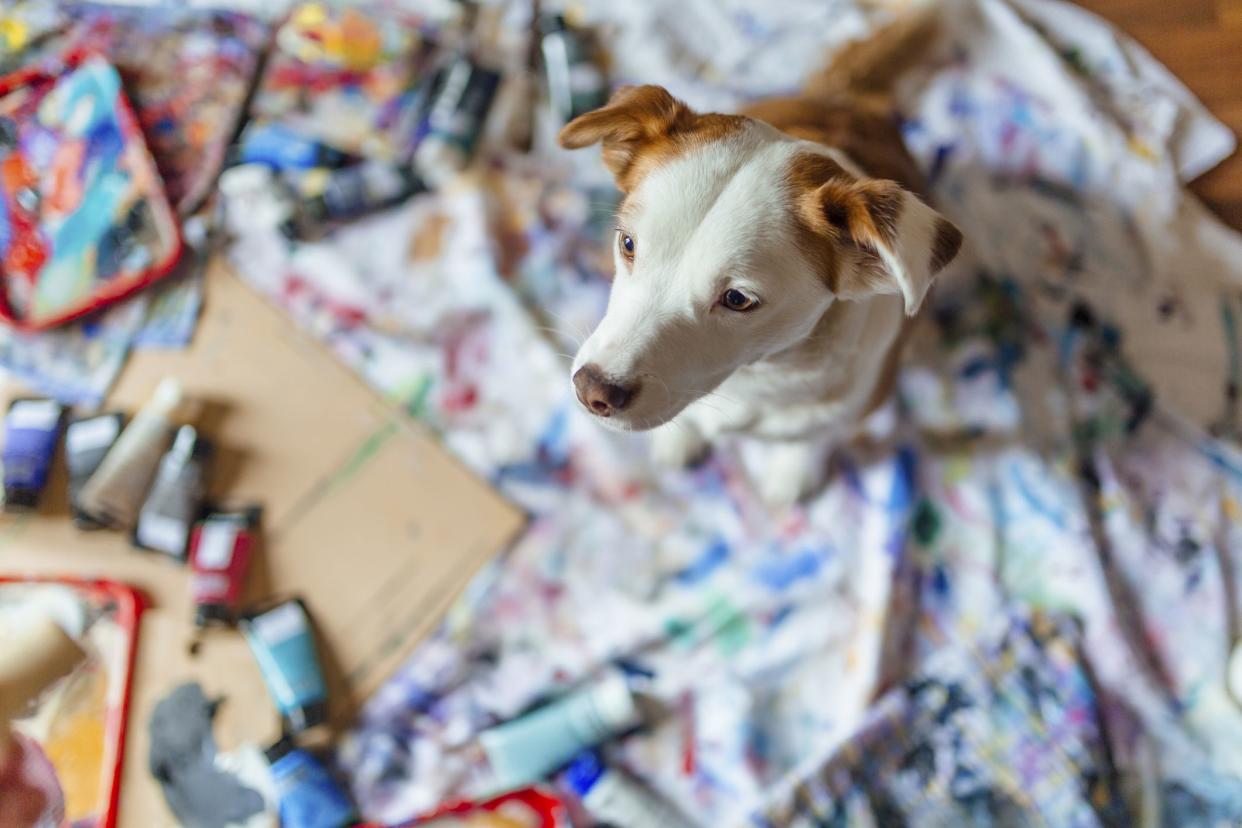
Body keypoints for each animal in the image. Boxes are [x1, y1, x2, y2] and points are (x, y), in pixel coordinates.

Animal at [563, 12, 958, 506]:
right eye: (629, 244)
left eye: (738, 299)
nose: (591, 390)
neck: (754, 375)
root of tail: (845, 98)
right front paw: (680, 437)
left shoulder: (856, 406)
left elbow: (813, 437)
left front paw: (794, 472)